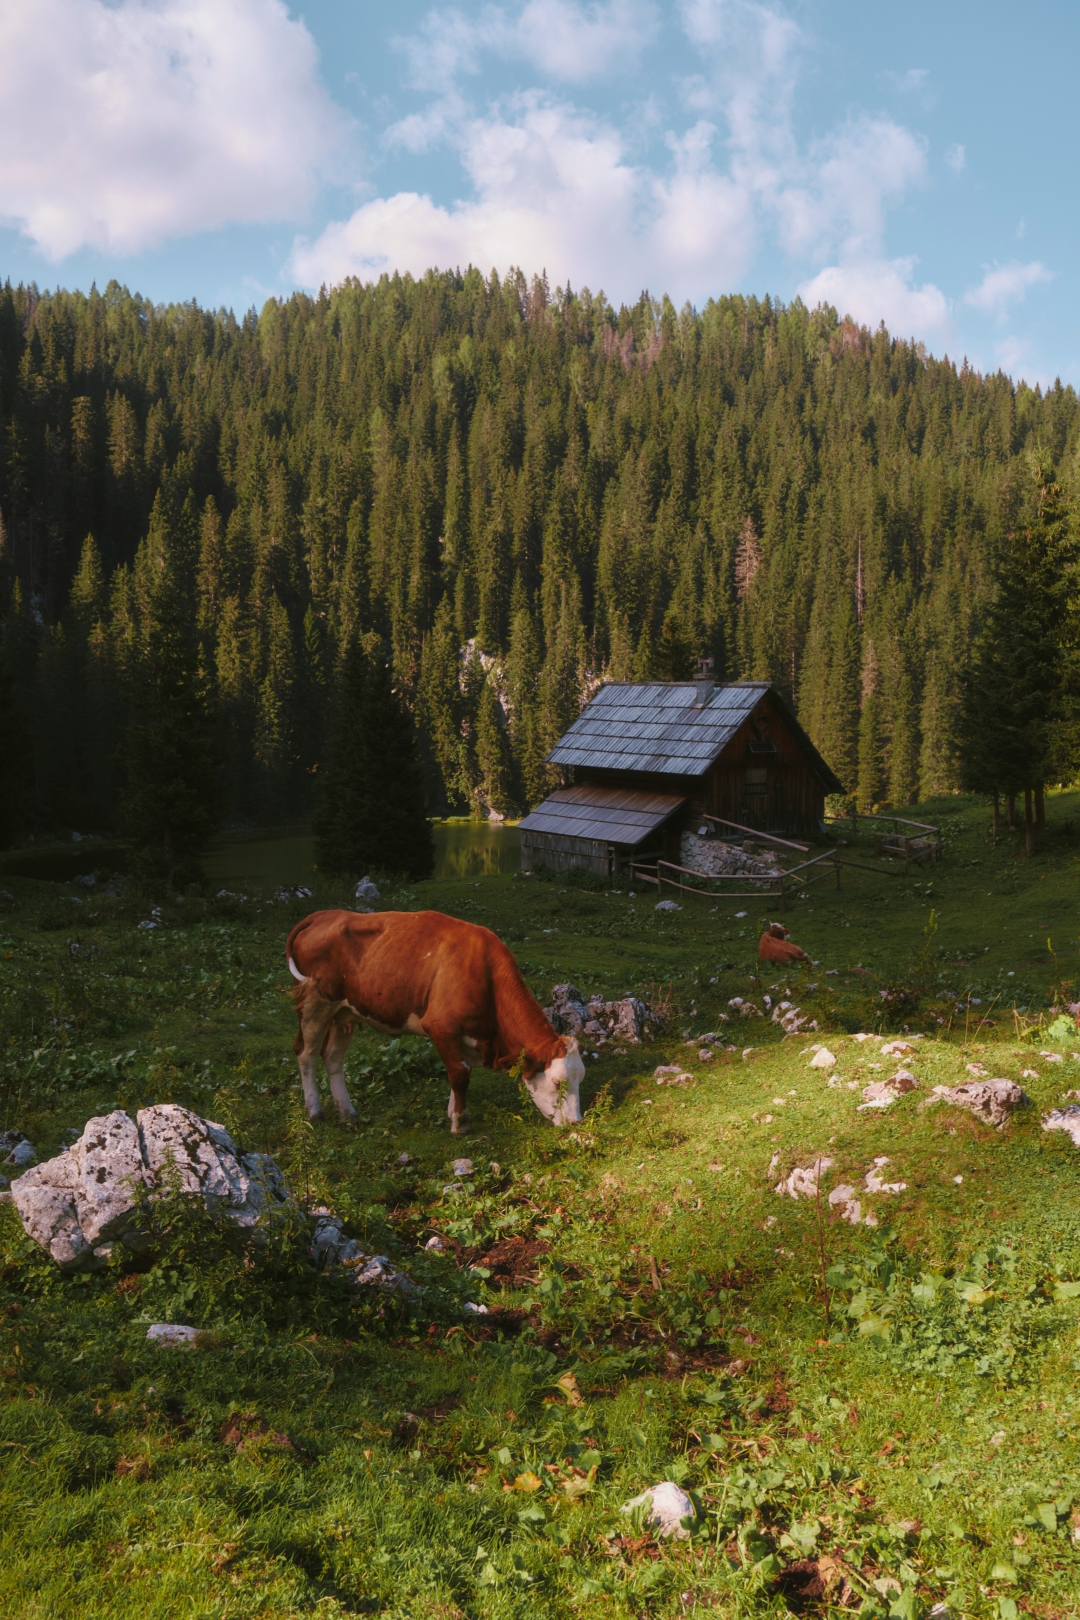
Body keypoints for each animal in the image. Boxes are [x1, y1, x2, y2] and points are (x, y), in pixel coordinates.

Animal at [284, 913, 582, 1140]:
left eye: (581, 1079)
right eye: (557, 1083)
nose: (576, 1123)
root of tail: (324, 914)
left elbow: (458, 1072)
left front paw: (452, 1112)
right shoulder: (441, 1027)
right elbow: (460, 1075)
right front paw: (460, 1123)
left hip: (344, 1011)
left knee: (333, 1056)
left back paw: (348, 1112)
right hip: (314, 1003)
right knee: (306, 1053)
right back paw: (315, 1111)